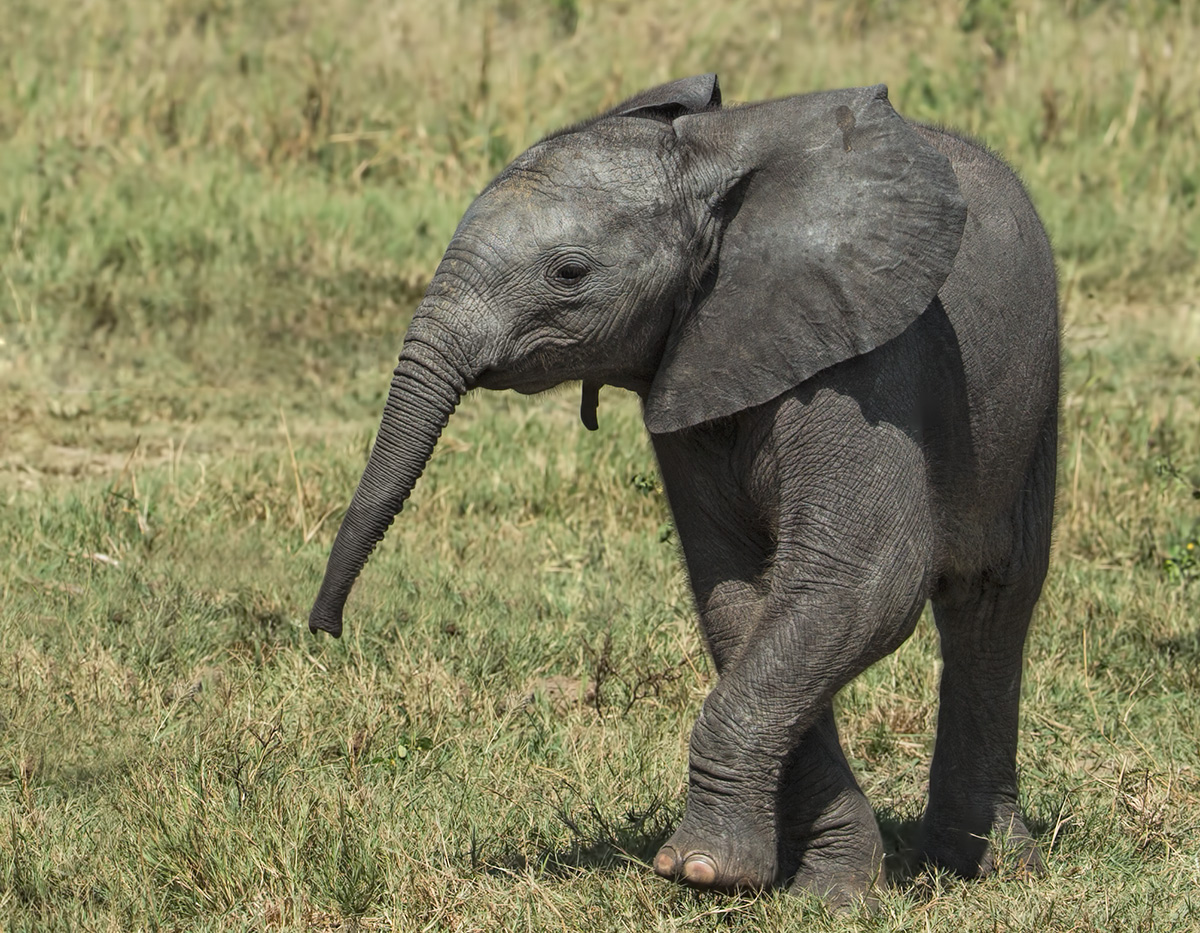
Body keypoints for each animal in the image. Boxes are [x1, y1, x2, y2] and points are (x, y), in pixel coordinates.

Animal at [308, 74, 1059, 905]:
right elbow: (742, 598)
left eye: (569, 273)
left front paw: (703, 870)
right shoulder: (688, 369)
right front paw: (819, 881)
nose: (325, 629)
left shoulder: (872, 364)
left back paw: (989, 866)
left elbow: (863, 584)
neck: (710, 164)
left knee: (993, 601)